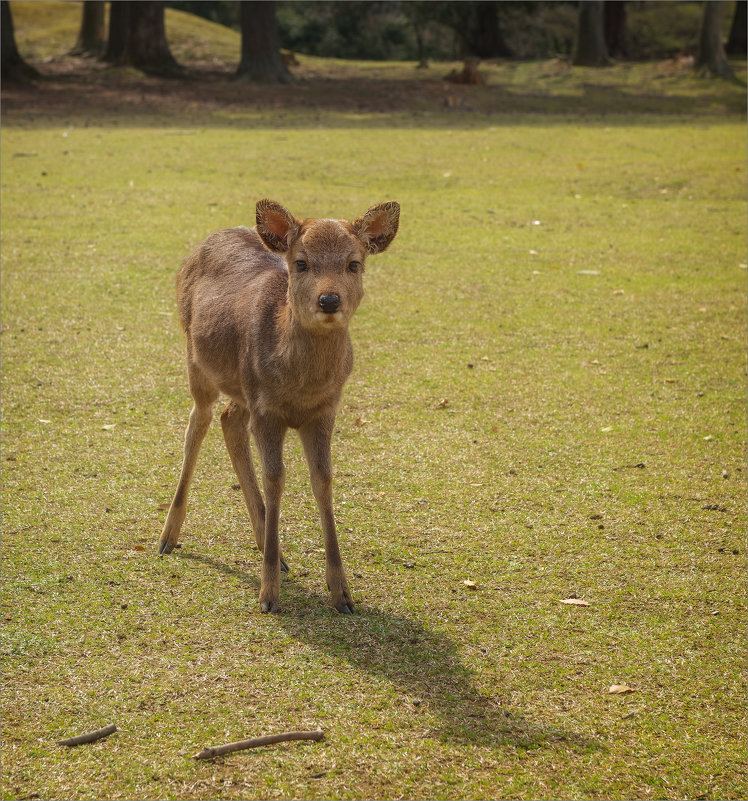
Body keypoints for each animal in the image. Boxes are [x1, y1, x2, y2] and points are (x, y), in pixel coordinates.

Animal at [158, 198, 400, 612]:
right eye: (301, 262)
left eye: (354, 263)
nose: (329, 300)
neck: (300, 388)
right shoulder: (266, 410)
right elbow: (276, 479)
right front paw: (268, 594)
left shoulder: (325, 411)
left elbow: (323, 480)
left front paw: (342, 593)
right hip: (196, 359)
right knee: (198, 423)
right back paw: (167, 538)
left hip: (242, 390)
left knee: (229, 420)